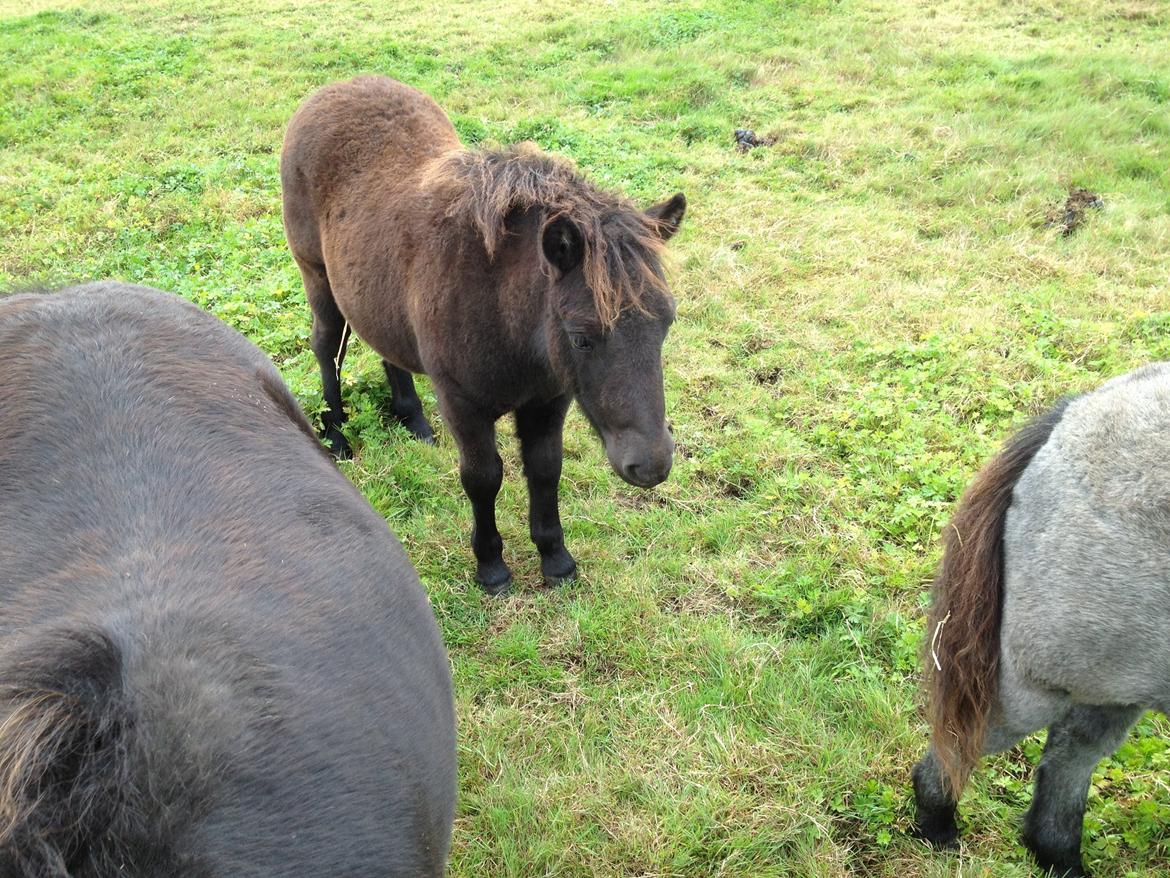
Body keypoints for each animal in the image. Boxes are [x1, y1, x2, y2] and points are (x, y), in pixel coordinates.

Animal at [281, 77, 683, 599]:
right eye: (581, 338)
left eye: (667, 323)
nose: (651, 466)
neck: (505, 316)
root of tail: (333, 89)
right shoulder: (463, 406)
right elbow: (483, 477)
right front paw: (491, 567)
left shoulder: (547, 402)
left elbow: (545, 469)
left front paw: (555, 558)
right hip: (317, 277)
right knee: (326, 347)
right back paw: (336, 435)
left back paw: (414, 421)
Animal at [917, 362, 1170, 878]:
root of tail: (1075, 412)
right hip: (1045, 677)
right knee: (969, 740)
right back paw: (936, 822)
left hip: (1113, 676)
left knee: (1071, 756)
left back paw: (1058, 857)